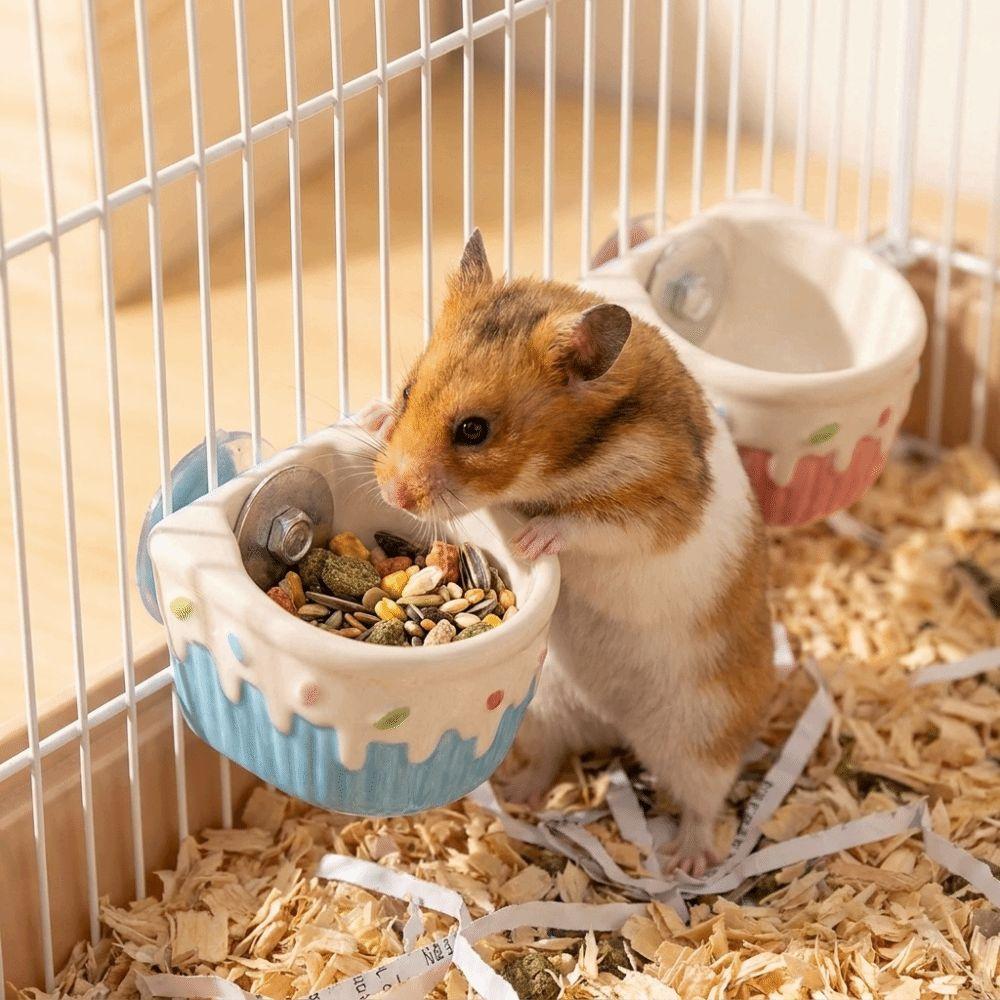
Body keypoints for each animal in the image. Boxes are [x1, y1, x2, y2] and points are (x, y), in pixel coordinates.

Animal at [372, 231, 775, 875]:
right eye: (408, 389)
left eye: (474, 431)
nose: (392, 493)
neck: (566, 461)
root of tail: (612, 724)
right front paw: (373, 417)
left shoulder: (654, 508)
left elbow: (586, 525)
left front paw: (531, 540)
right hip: (544, 709)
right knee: (551, 755)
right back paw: (520, 793)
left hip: (701, 733)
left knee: (703, 800)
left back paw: (687, 862)